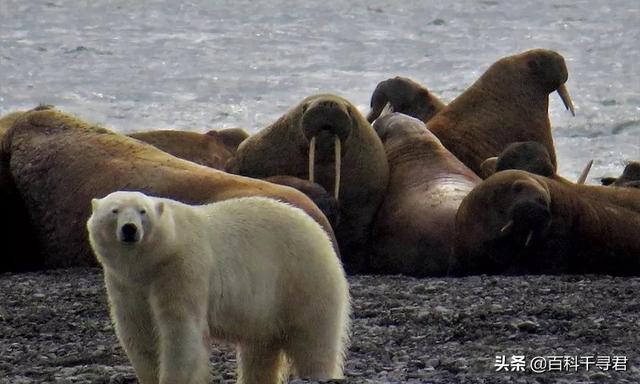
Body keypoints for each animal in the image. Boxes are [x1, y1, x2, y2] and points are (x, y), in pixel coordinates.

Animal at [85, 191, 350, 384]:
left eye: (143, 211)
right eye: (114, 211)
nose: (129, 229)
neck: (152, 262)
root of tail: (320, 230)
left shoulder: (182, 269)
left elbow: (180, 331)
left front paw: (173, 377)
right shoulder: (125, 282)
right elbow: (137, 330)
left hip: (302, 277)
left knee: (314, 337)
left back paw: (317, 373)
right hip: (267, 308)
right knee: (260, 349)